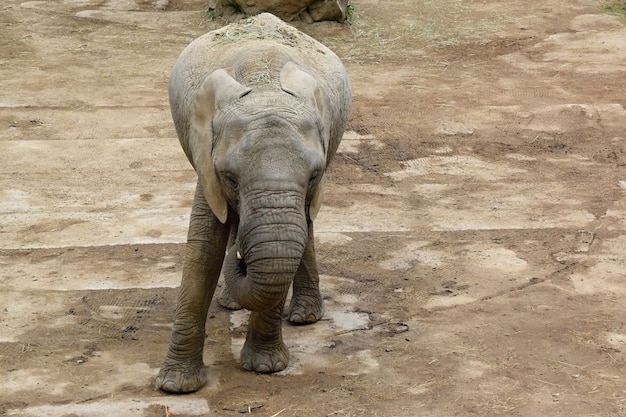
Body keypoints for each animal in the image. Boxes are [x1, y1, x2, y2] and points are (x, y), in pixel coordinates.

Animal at [155, 11, 352, 392]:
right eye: (230, 177)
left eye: (314, 175)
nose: (242, 256)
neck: (264, 87)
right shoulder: (206, 160)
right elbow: (204, 247)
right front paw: (176, 386)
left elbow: (288, 244)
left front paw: (265, 367)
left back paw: (304, 317)